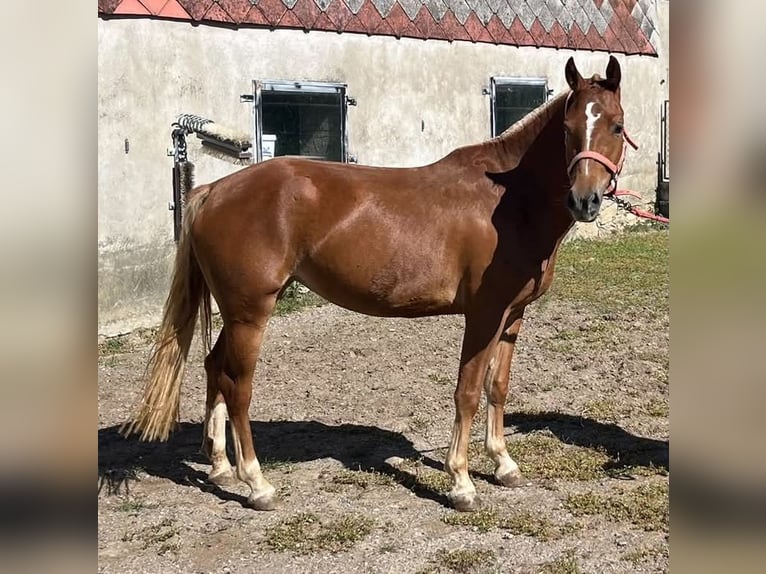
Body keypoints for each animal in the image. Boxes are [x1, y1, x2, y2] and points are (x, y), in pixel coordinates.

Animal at [123, 56, 633, 512]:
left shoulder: (513, 314)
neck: (508, 203)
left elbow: (498, 385)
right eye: (567, 128)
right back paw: (257, 484)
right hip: (251, 312)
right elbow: (467, 391)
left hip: (237, 310)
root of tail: (213, 190)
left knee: (213, 368)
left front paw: (503, 464)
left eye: (615, 125)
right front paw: (461, 483)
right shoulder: (484, 315)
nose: (585, 200)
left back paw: (220, 467)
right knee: (237, 385)